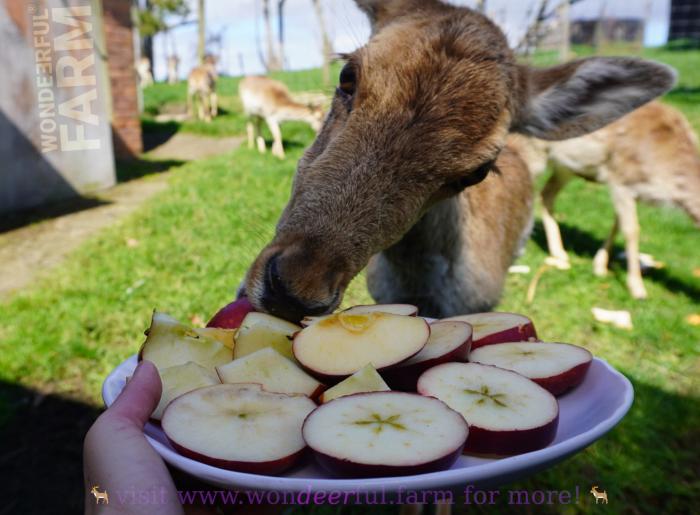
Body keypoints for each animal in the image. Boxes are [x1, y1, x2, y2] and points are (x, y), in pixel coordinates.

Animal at [508, 101, 700, 300]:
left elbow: (618, 223)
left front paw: (599, 266)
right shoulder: (620, 179)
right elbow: (631, 230)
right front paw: (637, 289)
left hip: (566, 167)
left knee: (546, 194)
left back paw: (559, 254)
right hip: (533, 150)